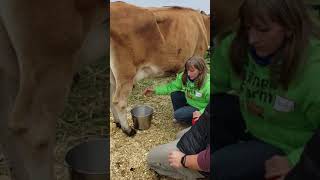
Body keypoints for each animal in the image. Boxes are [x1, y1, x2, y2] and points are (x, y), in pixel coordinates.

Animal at [110, 1, 210, 136]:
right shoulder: (197, 55)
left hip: (113, 76)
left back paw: (118, 123)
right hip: (126, 73)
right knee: (119, 101)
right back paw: (128, 130)